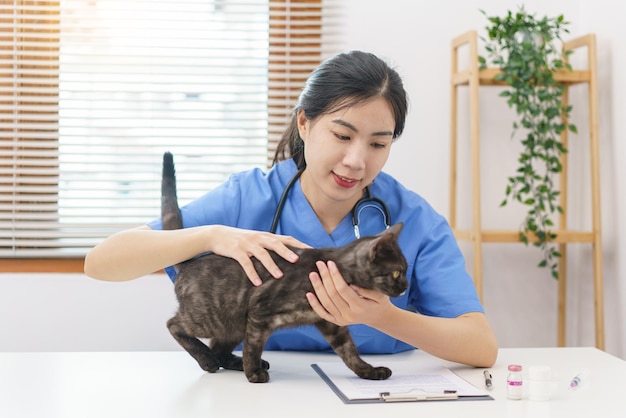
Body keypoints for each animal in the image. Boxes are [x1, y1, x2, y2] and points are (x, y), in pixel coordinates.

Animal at [161, 152, 408, 384]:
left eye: (405, 270)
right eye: (397, 272)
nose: (405, 286)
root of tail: (188, 264)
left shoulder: (330, 324)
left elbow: (350, 353)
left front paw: (369, 371)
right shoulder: (259, 313)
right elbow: (253, 346)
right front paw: (253, 373)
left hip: (234, 324)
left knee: (219, 348)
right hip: (212, 318)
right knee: (174, 325)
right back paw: (208, 360)